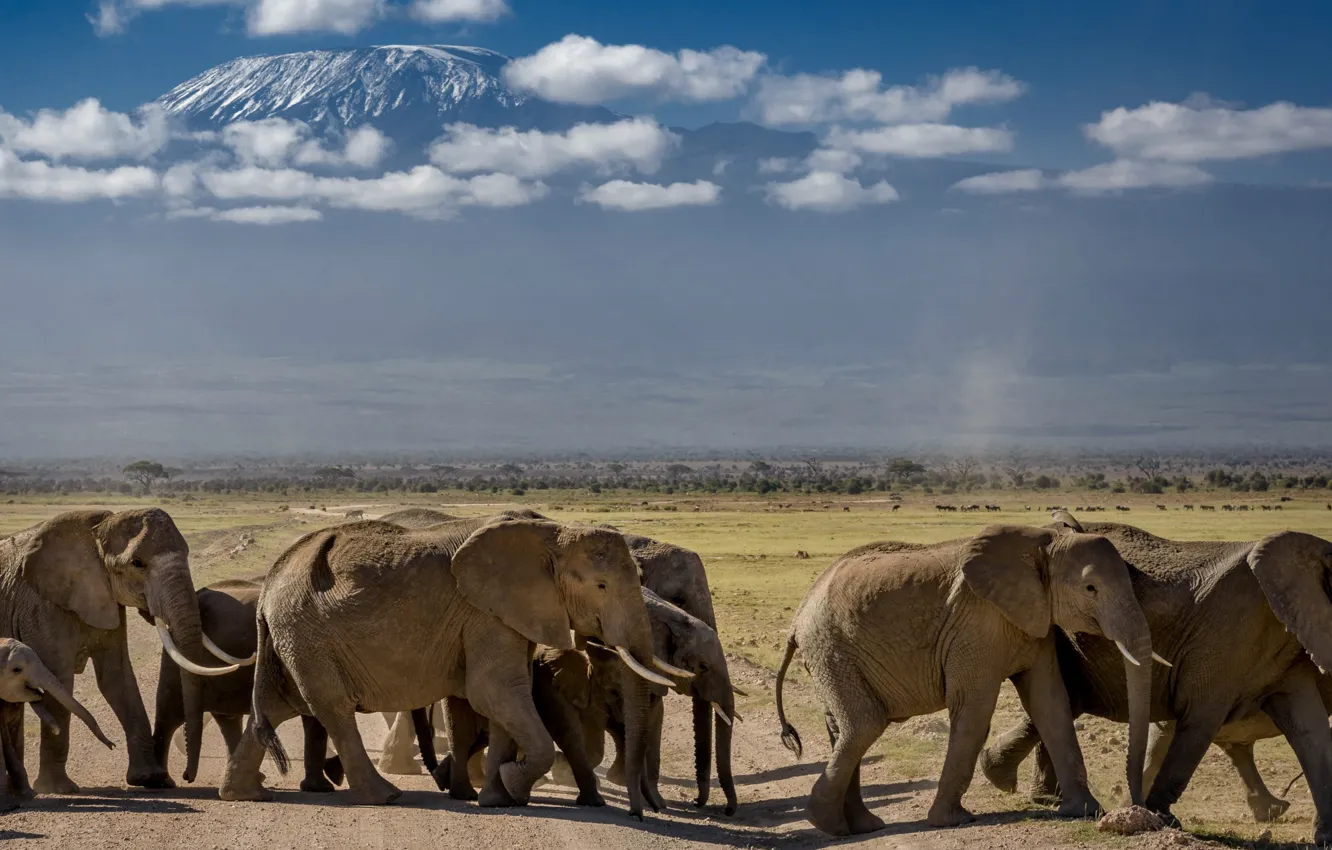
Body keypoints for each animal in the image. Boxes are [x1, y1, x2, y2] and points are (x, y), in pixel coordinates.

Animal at [153, 576, 341, 791]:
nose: (186, 776)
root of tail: (199, 594)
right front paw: (324, 785)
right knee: (171, 715)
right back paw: (162, 781)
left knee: (223, 719)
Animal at [219, 516, 684, 818]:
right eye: (601, 586)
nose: (641, 814)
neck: (552, 534)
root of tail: (269, 584)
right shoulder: (484, 612)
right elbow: (493, 691)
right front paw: (512, 785)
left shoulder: (508, 614)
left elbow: (502, 699)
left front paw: (498, 796)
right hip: (308, 635)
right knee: (332, 708)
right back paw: (384, 796)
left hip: (295, 637)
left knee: (280, 704)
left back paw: (244, 794)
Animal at [774, 525, 1156, 836]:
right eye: (1091, 588)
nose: (1137, 804)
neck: (1043, 540)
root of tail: (798, 616)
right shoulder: (977, 625)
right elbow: (975, 710)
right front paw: (953, 820)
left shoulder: (1035, 619)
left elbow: (1050, 704)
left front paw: (1087, 811)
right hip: (832, 649)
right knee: (864, 724)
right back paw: (828, 824)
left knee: (841, 727)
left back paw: (860, 826)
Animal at [979, 515, 1332, 846]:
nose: (1138, 803)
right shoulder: (1229, 635)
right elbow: (1200, 719)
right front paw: (1161, 818)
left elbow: (1309, 729)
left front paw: (1325, 837)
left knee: (1065, 702)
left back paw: (1033, 791)